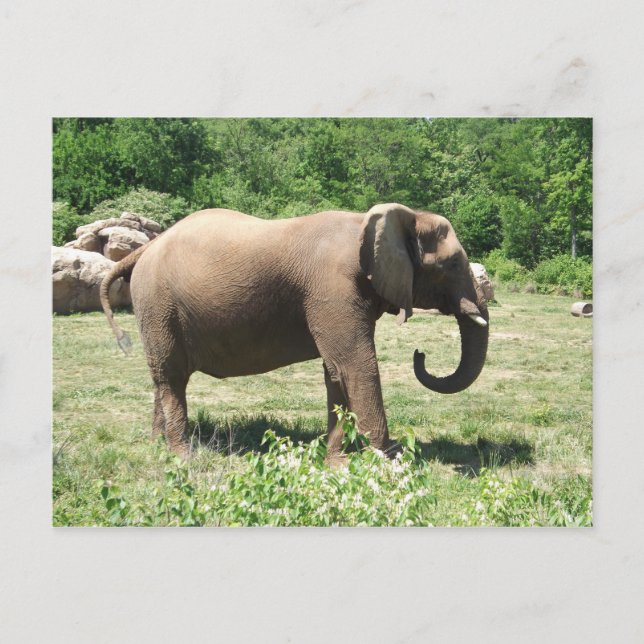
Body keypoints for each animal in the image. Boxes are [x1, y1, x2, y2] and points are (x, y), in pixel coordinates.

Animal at [100, 203, 489, 461]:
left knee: (163, 377)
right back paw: (183, 456)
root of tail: (146, 247)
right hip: (157, 302)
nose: (419, 354)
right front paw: (387, 462)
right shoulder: (332, 289)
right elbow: (357, 365)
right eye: (454, 263)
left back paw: (157, 446)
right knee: (171, 378)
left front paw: (337, 462)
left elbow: (336, 372)